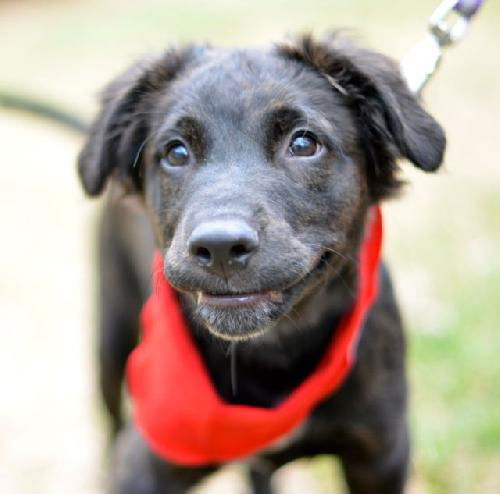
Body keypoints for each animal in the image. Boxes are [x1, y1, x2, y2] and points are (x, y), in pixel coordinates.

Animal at [77, 32, 446, 492]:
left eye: (304, 144)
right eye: (175, 152)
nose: (219, 247)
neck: (272, 353)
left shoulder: (381, 453)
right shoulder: (146, 460)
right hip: (111, 339)